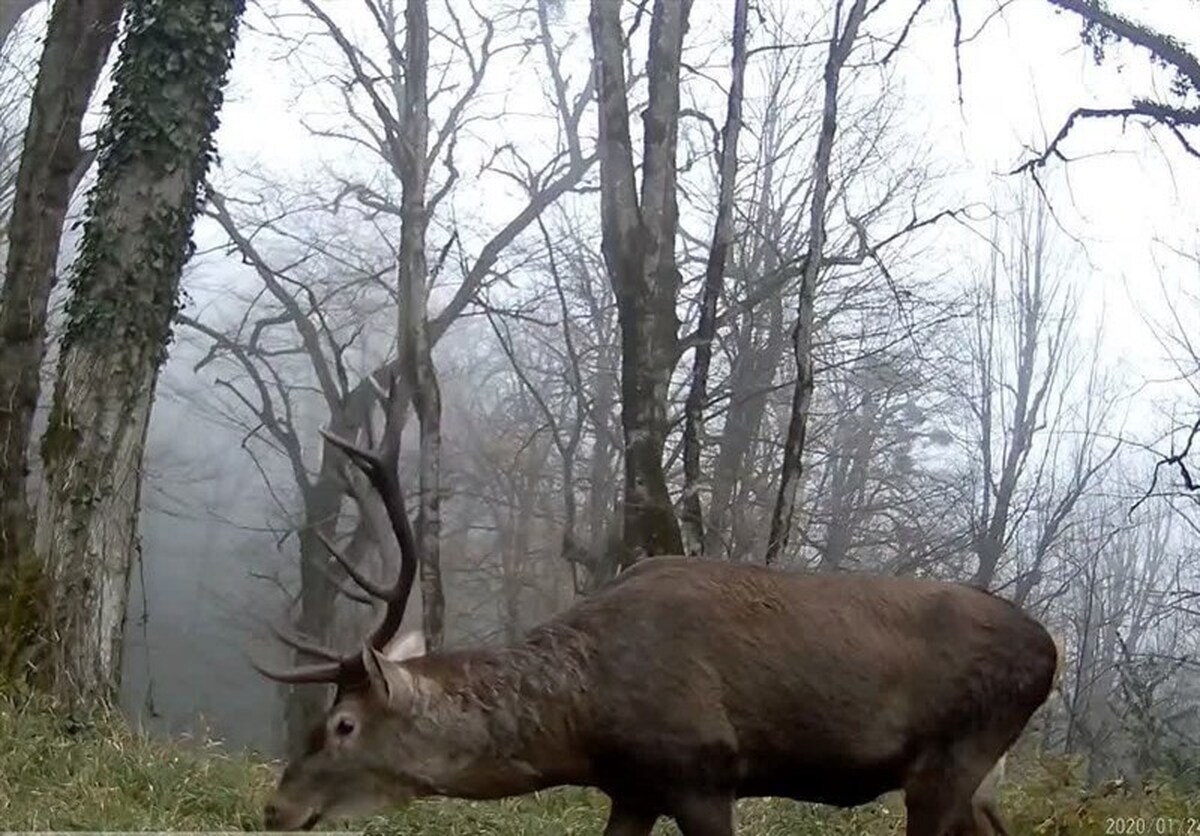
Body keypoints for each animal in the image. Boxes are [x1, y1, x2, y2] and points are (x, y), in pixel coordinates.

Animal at [255, 379, 1060, 834]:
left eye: (343, 724)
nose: (275, 809)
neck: (583, 717)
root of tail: (1052, 649)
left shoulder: (702, 768)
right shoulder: (633, 787)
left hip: (957, 751)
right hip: (976, 774)